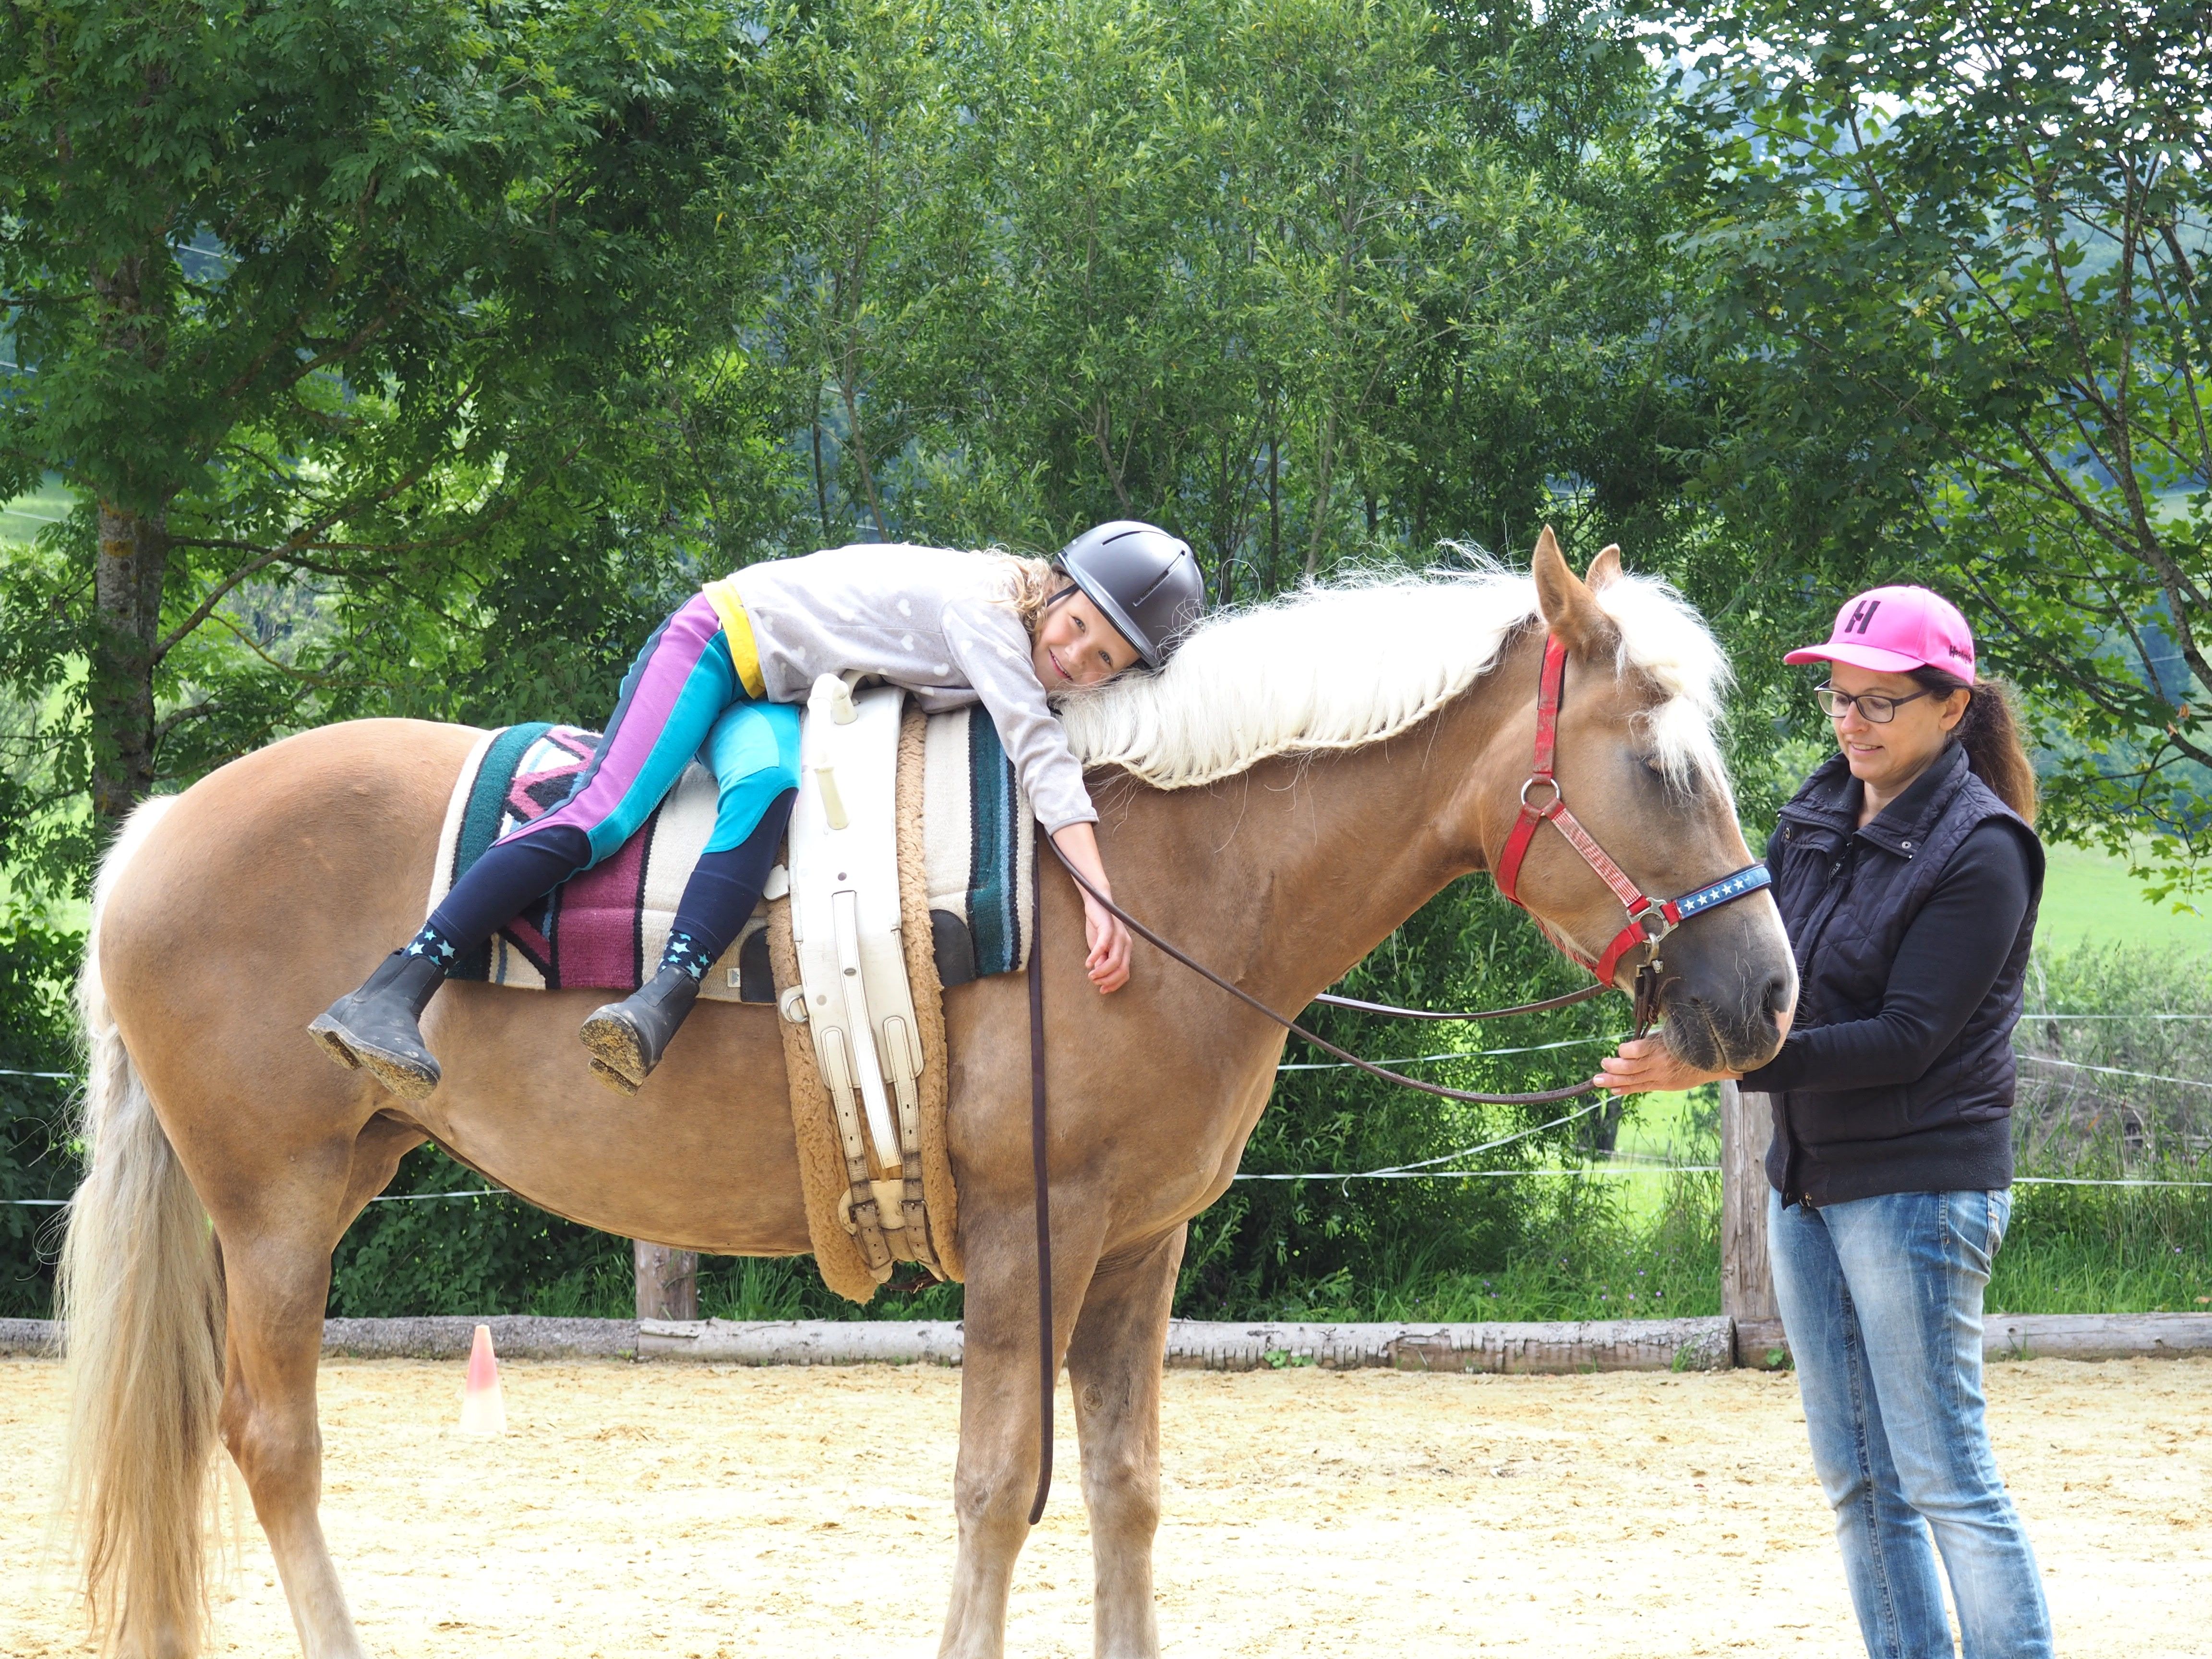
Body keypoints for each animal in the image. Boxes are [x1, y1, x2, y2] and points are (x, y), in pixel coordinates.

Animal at [54, 531, 1793, 1658]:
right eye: (1657, 768)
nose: (1767, 993)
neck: (1159, 870)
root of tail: (159, 830)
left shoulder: (1137, 1246)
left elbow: (1121, 1487)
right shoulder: (1033, 1228)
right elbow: (995, 1485)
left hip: (327, 1175)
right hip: (273, 1200)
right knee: (272, 1438)